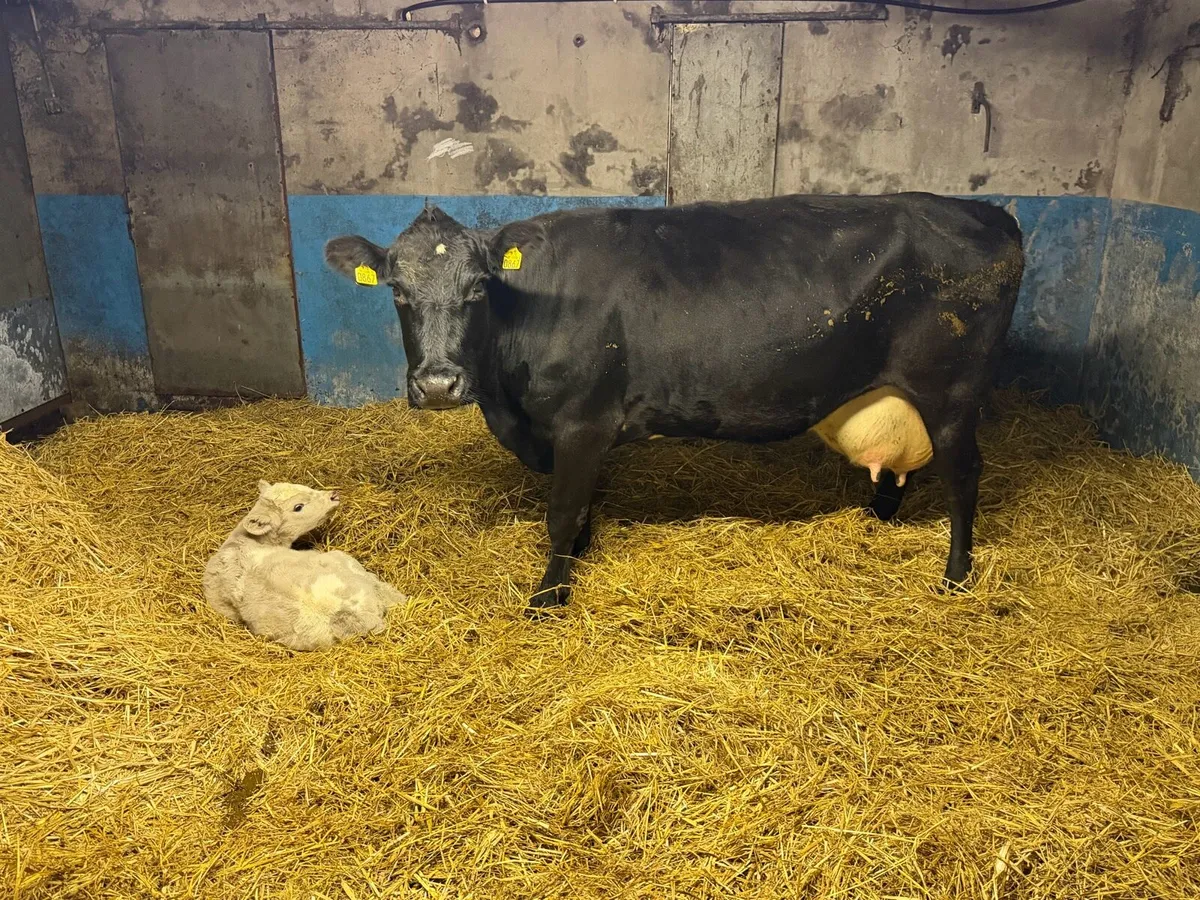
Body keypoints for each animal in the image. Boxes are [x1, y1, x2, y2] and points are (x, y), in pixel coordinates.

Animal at [324, 193, 1024, 613]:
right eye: (397, 292)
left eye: (477, 289)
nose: (439, 383)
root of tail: (989, 212)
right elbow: (580, 505)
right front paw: (578, 556)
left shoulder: (583, 420)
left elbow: (561, 510)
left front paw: (550, 596)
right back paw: (875, 522)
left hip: (953, 395)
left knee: (965, 477)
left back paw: (956, 575)